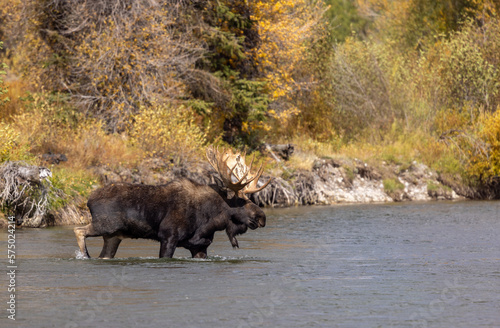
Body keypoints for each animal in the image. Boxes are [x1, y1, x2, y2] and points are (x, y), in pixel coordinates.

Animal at [72, 147, 272, 258]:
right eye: (241, 201)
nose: (262, 217)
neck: (211, 220)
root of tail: (89, 200)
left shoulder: (200, 246)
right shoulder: (168, 237)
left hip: (113, 236)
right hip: (104, 225)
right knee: (78, 229)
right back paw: (85, 256)